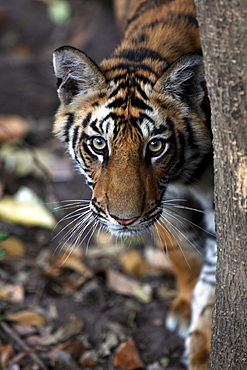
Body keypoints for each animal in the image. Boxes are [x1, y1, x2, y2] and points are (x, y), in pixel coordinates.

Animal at [52, 1, 216, 368]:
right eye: (99, 144)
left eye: (155, 147)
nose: (124, 220)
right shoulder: (164, 203)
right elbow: (182, 252)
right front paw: (185, 307)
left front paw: (205, 349)